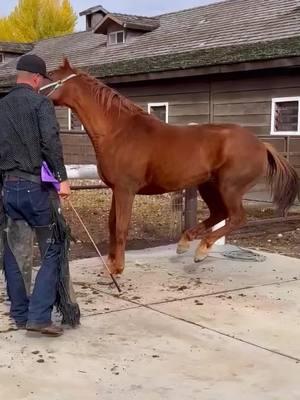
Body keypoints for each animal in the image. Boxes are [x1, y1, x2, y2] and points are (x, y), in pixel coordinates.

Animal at [44, 59, 298, 276]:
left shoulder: (126, 189)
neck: (118, 131)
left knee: (236, 217)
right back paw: (185, 243)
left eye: (50, 76)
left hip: (230, 188)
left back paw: (201, 250)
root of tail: (262, 145)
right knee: (219, 213)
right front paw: (110, 263)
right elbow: (112, 224)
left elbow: (121, 227)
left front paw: (117, 268)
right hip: (208, 185)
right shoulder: (116, 189)